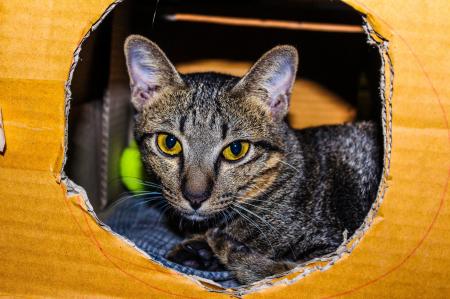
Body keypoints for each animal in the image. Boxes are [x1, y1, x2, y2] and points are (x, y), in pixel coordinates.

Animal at [124, 35, 384, 286]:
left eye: (236, 149)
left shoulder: (330, 249)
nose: (195, 197)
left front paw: (219, 246)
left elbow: (276, 271)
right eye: (169, 143)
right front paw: (197, 250)